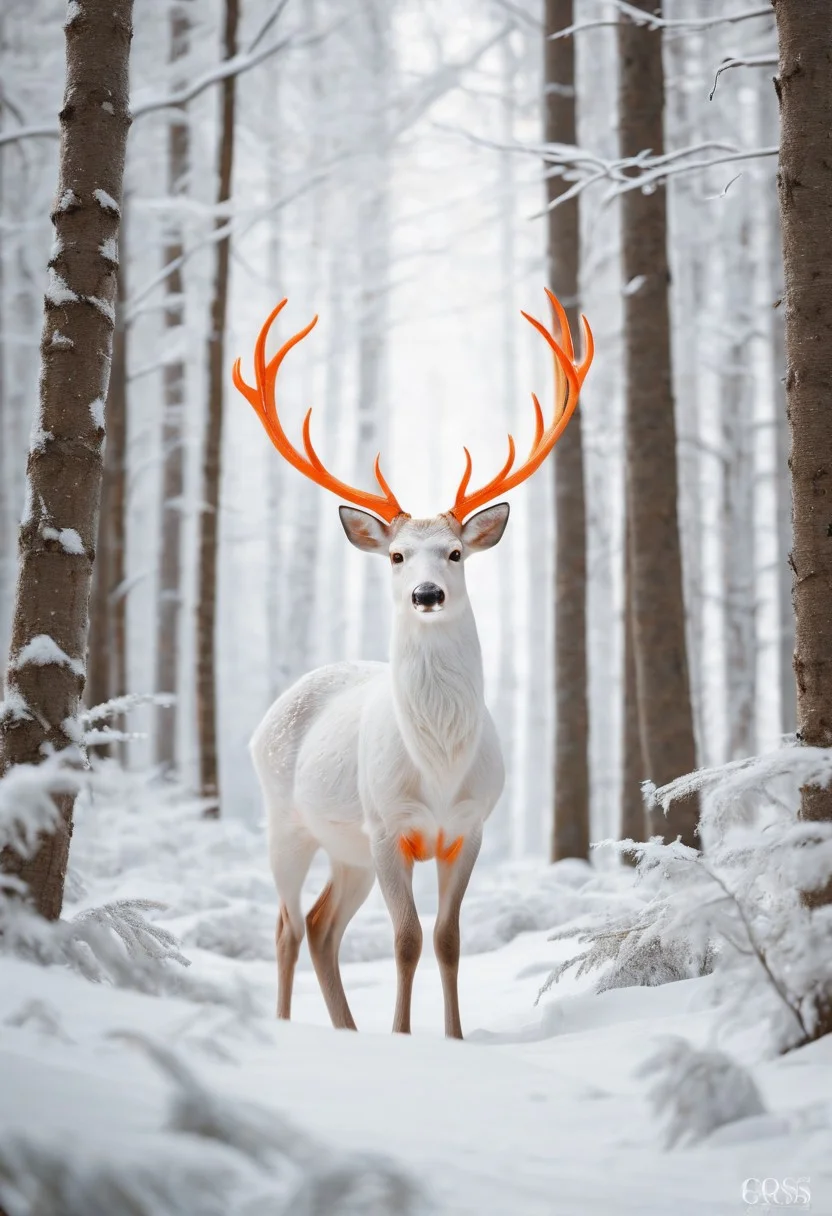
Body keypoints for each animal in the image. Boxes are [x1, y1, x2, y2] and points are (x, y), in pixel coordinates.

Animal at [233, 290, 593, 1039]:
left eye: (455, 553)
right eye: (397, 555)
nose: (427, 593)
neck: (438, 766)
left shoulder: (468, 828)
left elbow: (449, 939)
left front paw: (451, 1037)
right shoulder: (387, 826)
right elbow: (405, 939)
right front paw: (403, 1036)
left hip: (345, 850)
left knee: (321, 926)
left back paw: (346, 1029)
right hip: (289, 823)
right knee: (286, 925)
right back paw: (290, 1024)